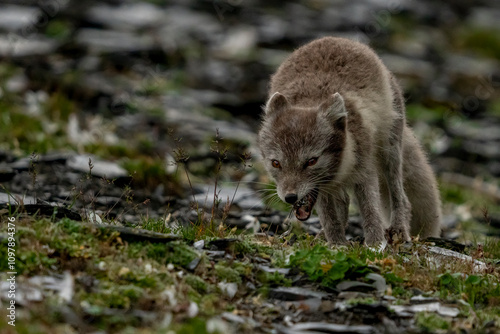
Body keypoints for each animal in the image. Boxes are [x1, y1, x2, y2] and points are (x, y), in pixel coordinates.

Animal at [258, 37, 442, 245]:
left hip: (391, 150)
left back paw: (399, 230)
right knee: (344, 202)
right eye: (276, 163)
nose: (290, 197)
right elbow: (330, 218)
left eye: (311, 161)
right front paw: (337, 243)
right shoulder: (323, 188)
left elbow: (370, 211)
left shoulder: (365, 172)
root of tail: (336, 39)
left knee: (400, 197)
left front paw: (374, 244)